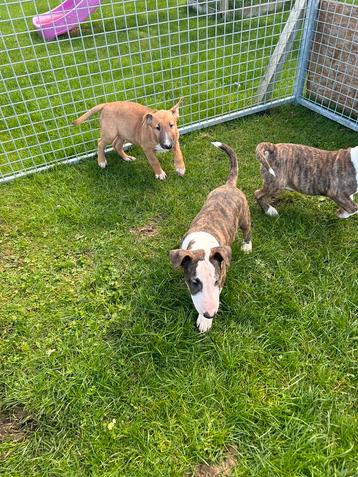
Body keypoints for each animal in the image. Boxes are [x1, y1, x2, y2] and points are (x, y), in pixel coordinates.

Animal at [170, 141, 252, 330]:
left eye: (216, 281)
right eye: (194, 282)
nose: (210, 314)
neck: (202, 245)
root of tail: (229, 185)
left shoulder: (223, 274)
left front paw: (205, 322)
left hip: (244, 217)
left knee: (247, 230)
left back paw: (247, 246)